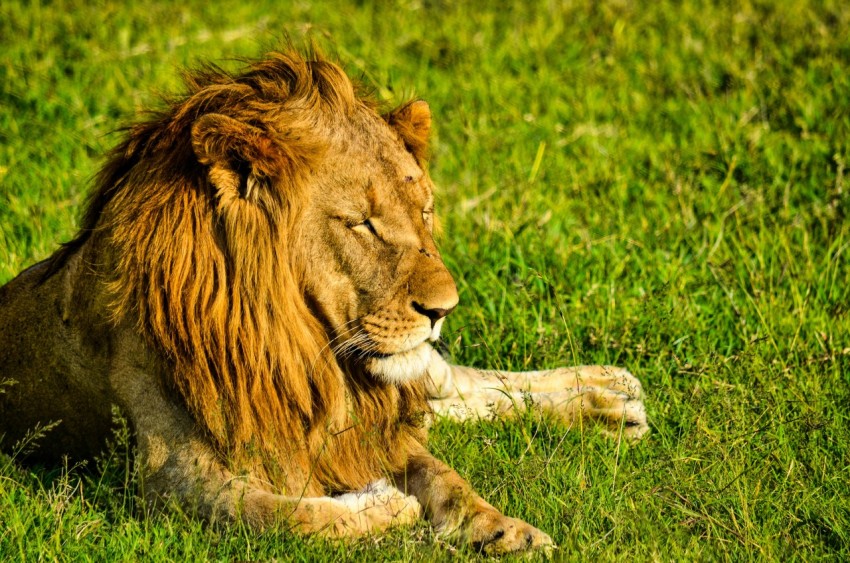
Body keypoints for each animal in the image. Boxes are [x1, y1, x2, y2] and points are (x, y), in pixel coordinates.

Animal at [0, 49, 646, 554]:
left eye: (425, 211)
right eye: (362, 223)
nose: (445, 309)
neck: (299, 347)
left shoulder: (366, 424)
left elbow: (445, 477)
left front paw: (502, 528)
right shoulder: (167, 475)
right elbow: (286, 516)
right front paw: (385, 505)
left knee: (462, 385)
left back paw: (610, 396)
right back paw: (612, 405)